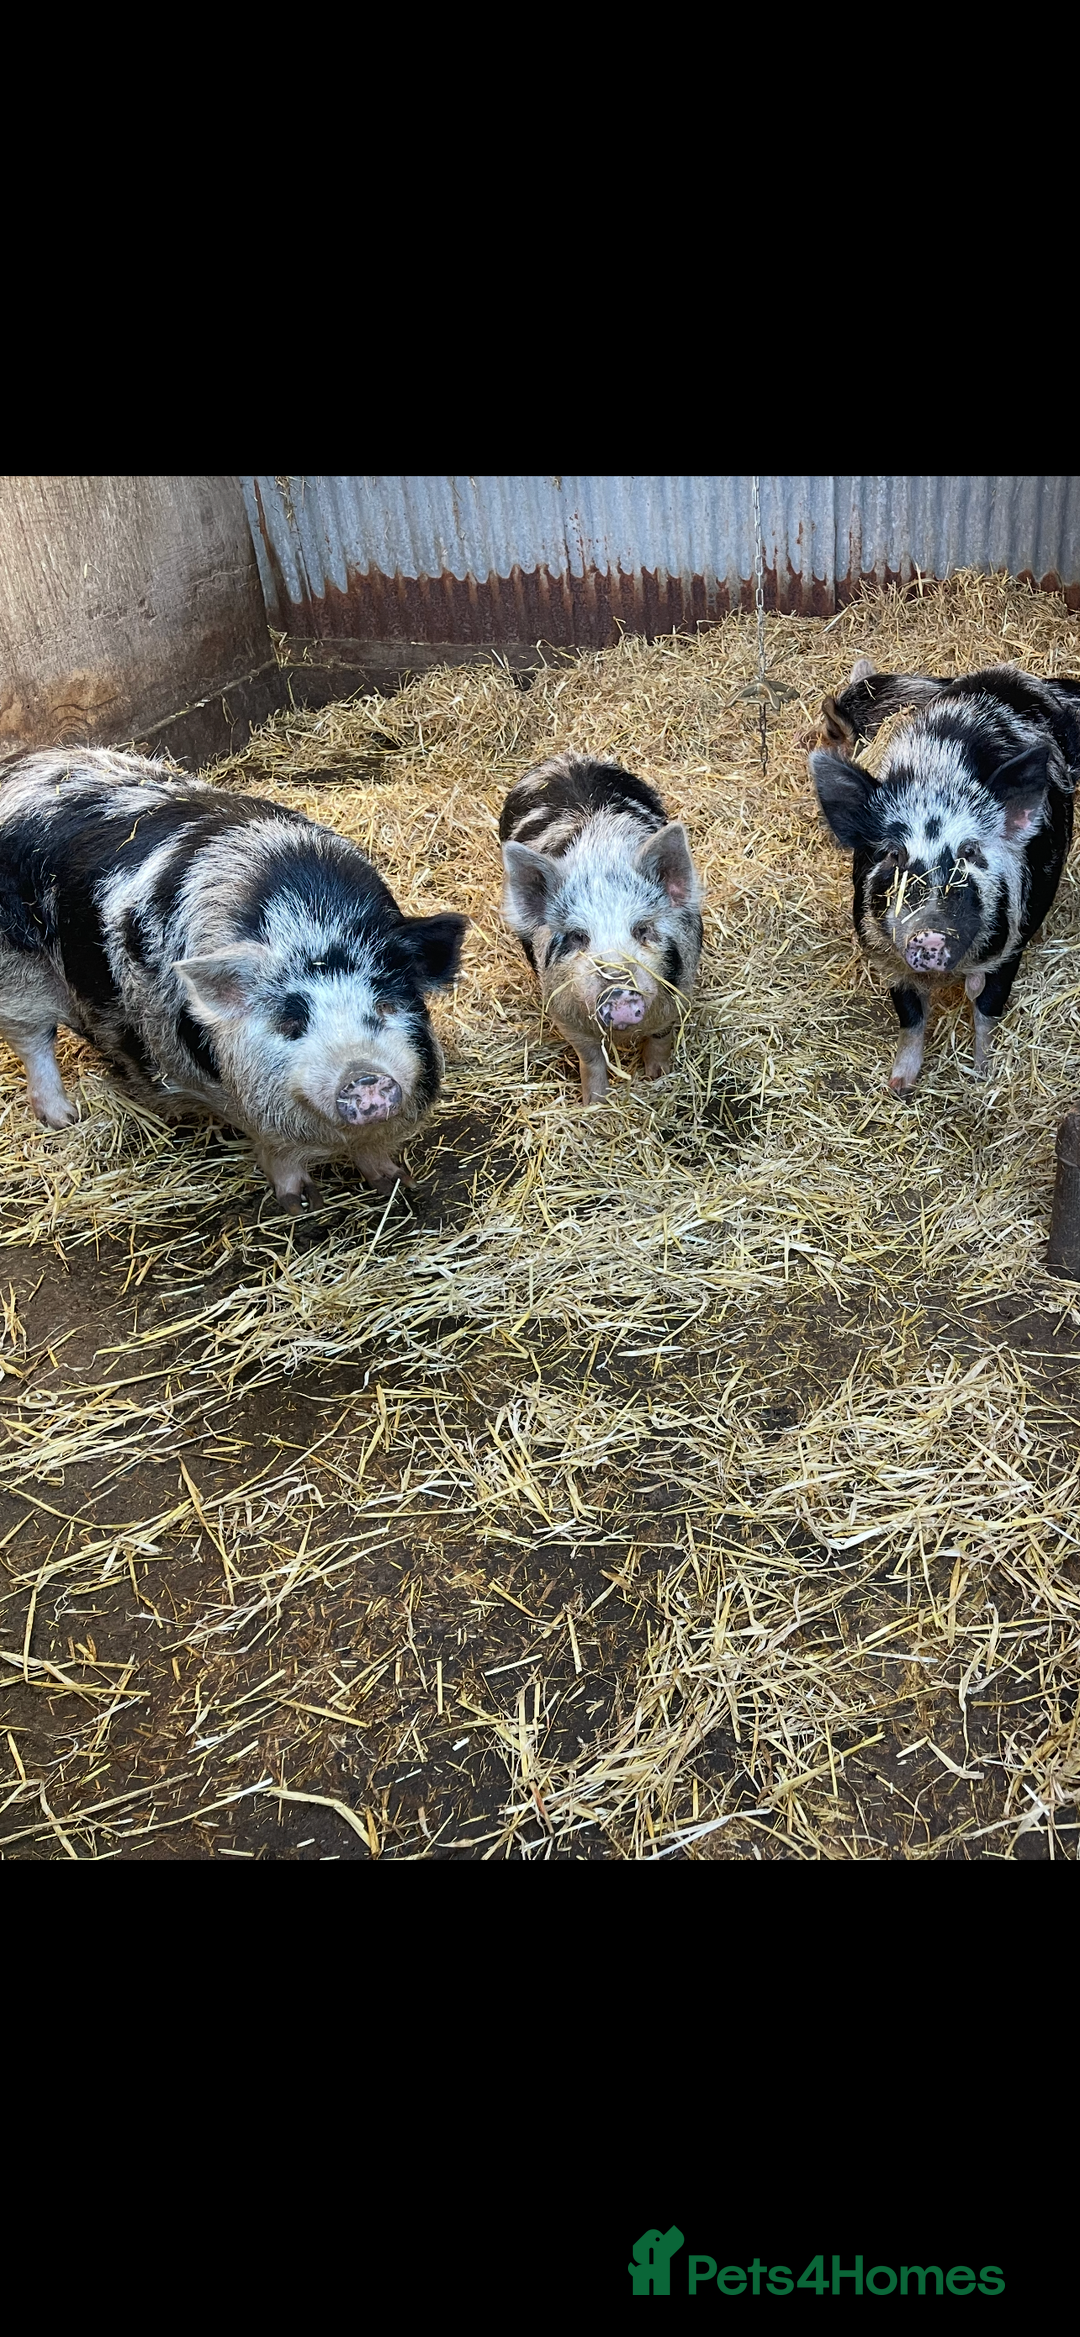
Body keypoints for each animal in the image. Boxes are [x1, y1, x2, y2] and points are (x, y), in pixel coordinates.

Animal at [0, 746, 465, 1209]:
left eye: (385, 1007)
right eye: (291, 1024)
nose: (364, 1078)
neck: (310, 924)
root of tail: (21, 766)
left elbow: (374, 1149)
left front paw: (398, 1183)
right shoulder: (245, 1098)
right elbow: (279, 1152)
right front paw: (301, 1204)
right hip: (18, 978)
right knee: (33, 1041)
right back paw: (63, 1119)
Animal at [499, 754, 703, 1103]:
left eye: (642, 929)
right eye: (578, 936)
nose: (619, 997)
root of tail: (567, 757)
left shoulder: (680, 993)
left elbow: (661, 1039)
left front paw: (658, 1077)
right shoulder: (565, 1016)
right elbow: (590, 1057)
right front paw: (593, 1102)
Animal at [809, 664, 1079, 1091]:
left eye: (970, 852)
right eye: (894, 854)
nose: (930, 932)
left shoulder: (1010, 944)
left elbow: (987, 1008)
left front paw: (983, 1075)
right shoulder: (886, 957)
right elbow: (910, 1017)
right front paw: (899, 1086)